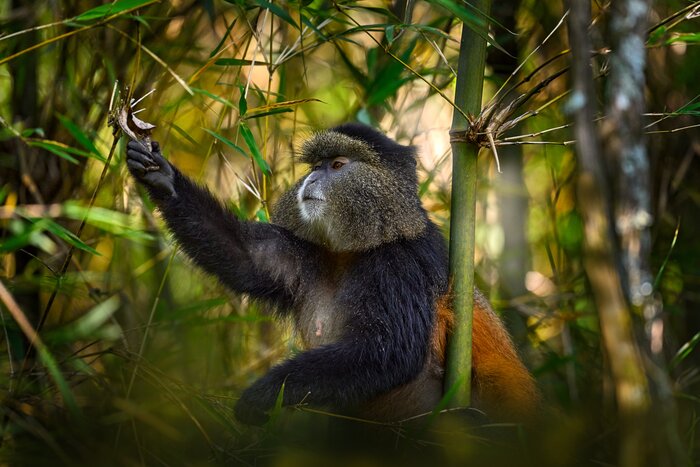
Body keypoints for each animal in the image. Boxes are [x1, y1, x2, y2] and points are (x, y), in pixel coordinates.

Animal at [125, 123, 538, 426]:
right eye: (314, 166)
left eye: (337, 165)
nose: (310, 180)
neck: (356, 250)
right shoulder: (308, 254)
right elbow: (245, 257)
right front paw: (162, 177)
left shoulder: (402, 265)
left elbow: (389, 350)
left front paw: (263, 394)